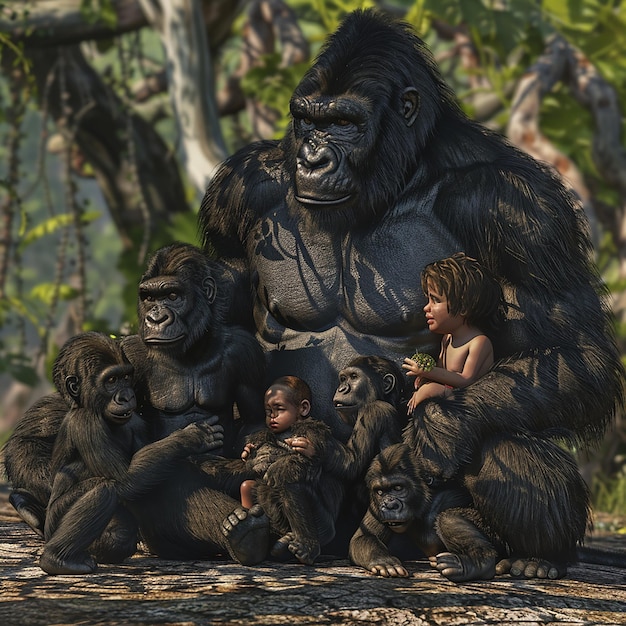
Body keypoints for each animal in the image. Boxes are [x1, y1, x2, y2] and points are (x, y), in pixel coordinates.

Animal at [201, 7, 624, 576]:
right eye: (309, 121)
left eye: (345, 124)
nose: (312, 159)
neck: (399, 177)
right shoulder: (240, 187)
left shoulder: (521, 208)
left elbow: (574, 350)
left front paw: (442, 425)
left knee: (505, 445)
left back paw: (535, 558)